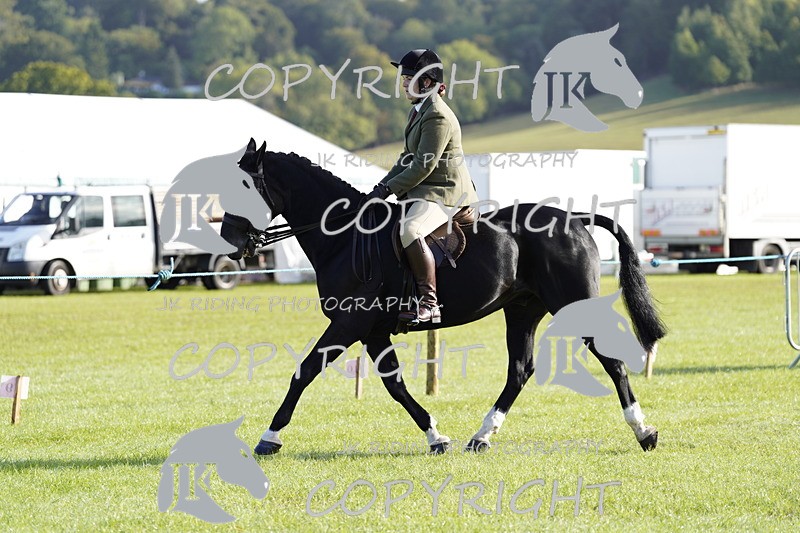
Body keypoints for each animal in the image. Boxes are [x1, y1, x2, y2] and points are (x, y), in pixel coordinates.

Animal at [222, 139, 666, 455]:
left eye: (246, 188)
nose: (231, 241)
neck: (345, 236)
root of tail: (574, 219)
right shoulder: (372, 330)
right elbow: (395, 385)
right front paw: (435, 436)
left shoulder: (350, 322)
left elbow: (305, 371)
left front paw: (269, 437)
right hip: (522, 309)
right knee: (519, 371)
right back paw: (481, 436)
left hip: (571, 307)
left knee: (612, 363)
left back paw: (644, 432)